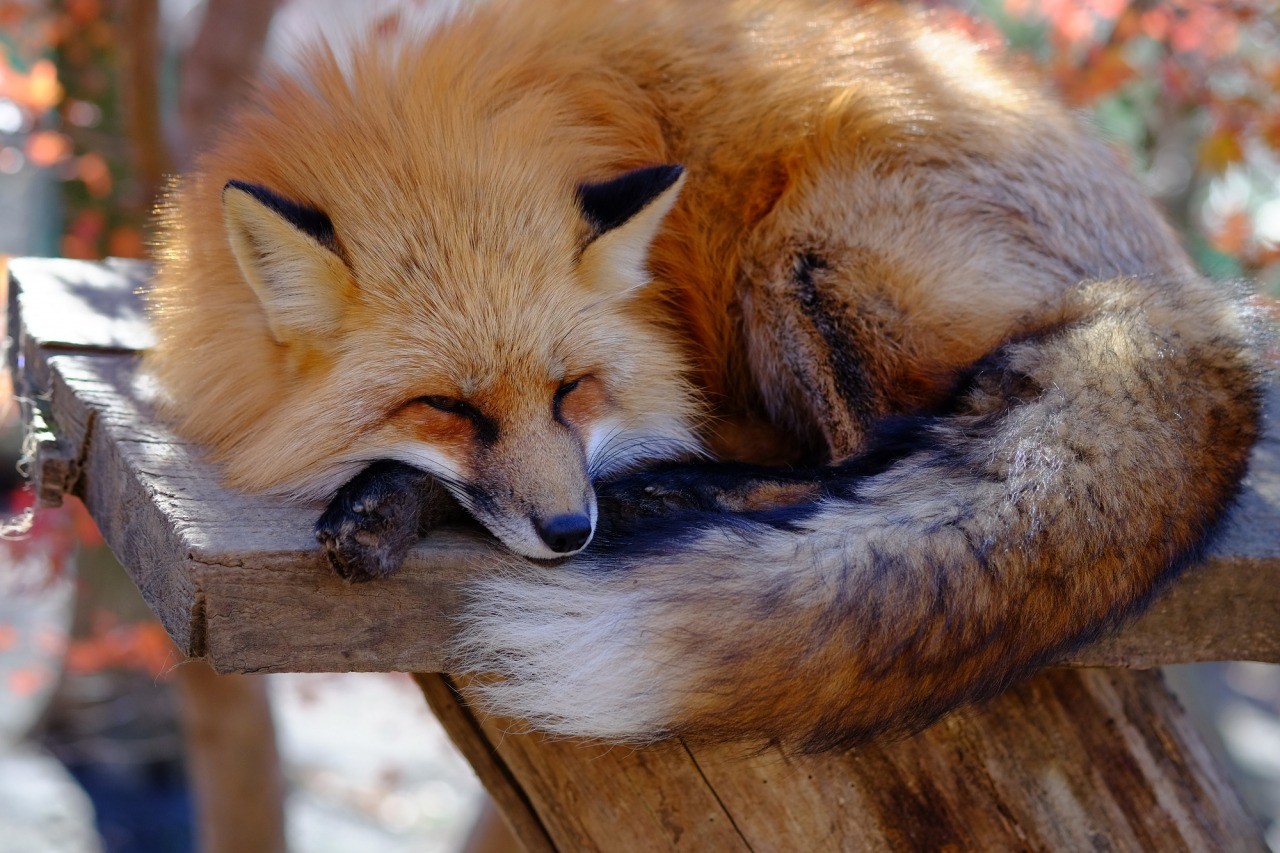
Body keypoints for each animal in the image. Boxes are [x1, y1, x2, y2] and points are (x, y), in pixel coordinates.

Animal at [145, 0, 1264, 747]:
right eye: (447, 407)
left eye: (571, 389)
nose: (571, 533)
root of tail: (1177, 294)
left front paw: (394, 499)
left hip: (801, 251)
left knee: (857, 461)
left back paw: (670, 492)